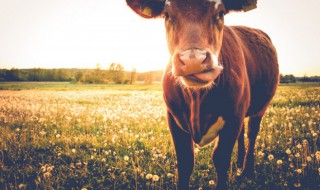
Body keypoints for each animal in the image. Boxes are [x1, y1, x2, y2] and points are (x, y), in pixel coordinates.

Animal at [126, 0, 278, 189]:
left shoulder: (233, 117)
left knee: (252, 133)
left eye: (221, 13)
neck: (197, 100)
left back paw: (247, 169)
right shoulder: (173, 118)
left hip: (260, 107)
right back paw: (239, 162)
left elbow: (221, 158)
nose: (194, 60)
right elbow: (185, 161)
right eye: (167, 14)